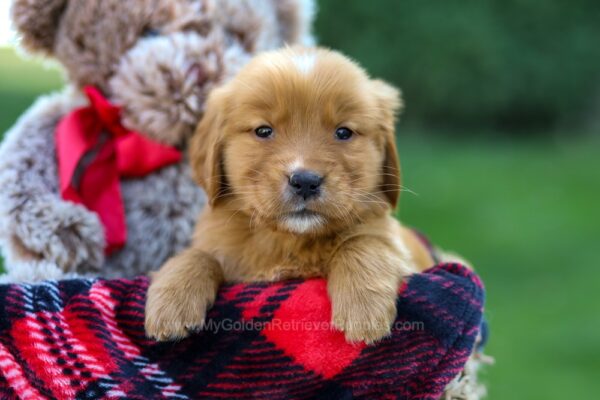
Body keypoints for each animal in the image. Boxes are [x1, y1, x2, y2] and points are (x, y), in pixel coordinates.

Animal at [145, 47, 436, 344]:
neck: (290, 241)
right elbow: (199, 255)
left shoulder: (392, 242)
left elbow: (363, 242)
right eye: (263, 131)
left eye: (343, 132)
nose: (305, 181)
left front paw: (362, 308)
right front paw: (171, 301)